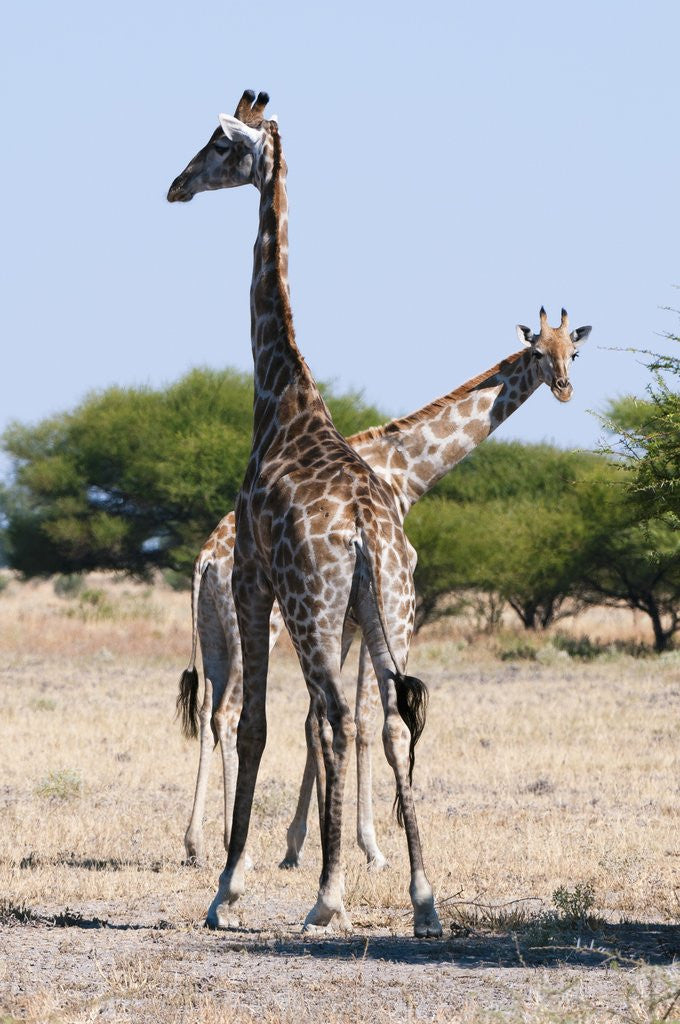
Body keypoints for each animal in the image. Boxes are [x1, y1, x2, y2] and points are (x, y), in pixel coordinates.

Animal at [167, 91, 442, 936]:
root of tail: (364, 533)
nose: (176, 186)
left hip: (319, 607)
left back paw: (327, 897)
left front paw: (228, 888)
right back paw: (424, 899)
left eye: (220, 143)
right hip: (390, 605)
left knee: (338, 717)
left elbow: (254, 723)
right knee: (391, 717)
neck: (280, 393)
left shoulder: (254, 578)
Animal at [177, 308, 592, 869]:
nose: (565, 388)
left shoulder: (347, 620)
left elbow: (319, 721)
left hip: (216, 630)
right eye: (538, 352)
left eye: (574, 351)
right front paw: (367, 846)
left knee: (208, 711)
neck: (405, 473)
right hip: (257, 625)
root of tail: (204, 560)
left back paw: (197, 843)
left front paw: (302, 842)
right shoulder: (371, 607)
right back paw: (229, 844)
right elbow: (363, 718)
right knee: (231, 710)